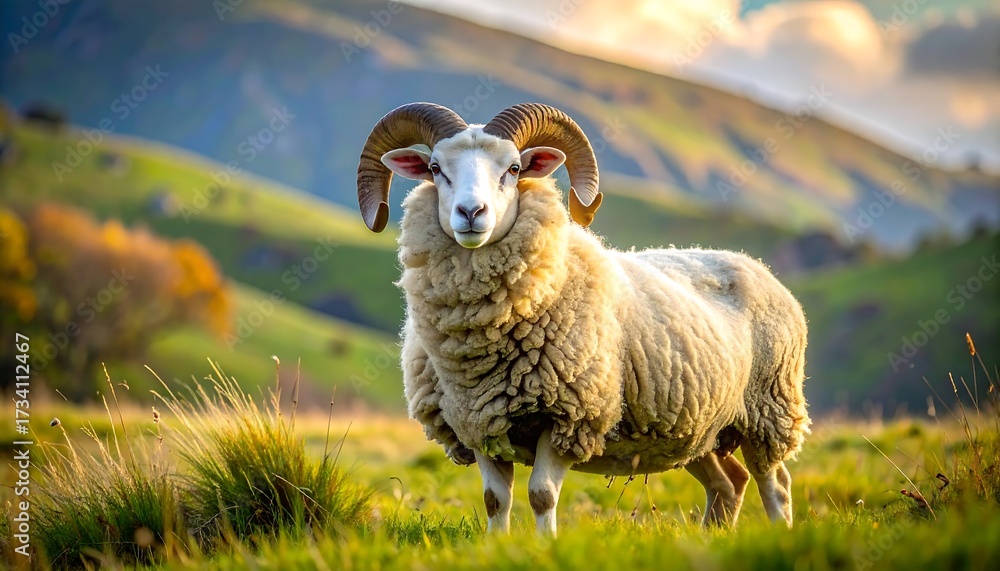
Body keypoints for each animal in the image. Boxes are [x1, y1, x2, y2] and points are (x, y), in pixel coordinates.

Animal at [356, 102, 810, 536]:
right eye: (435, 169)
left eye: (514, 168)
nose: (472, 213)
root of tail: (756, 266)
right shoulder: (477, 422)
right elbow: (494, 501)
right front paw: (498, 546)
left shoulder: (570, 417)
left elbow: (541, 495)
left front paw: (545, 546)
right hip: (699, 428)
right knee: (729, 483)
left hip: (768, 411)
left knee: (776, 485)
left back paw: (778, 535)